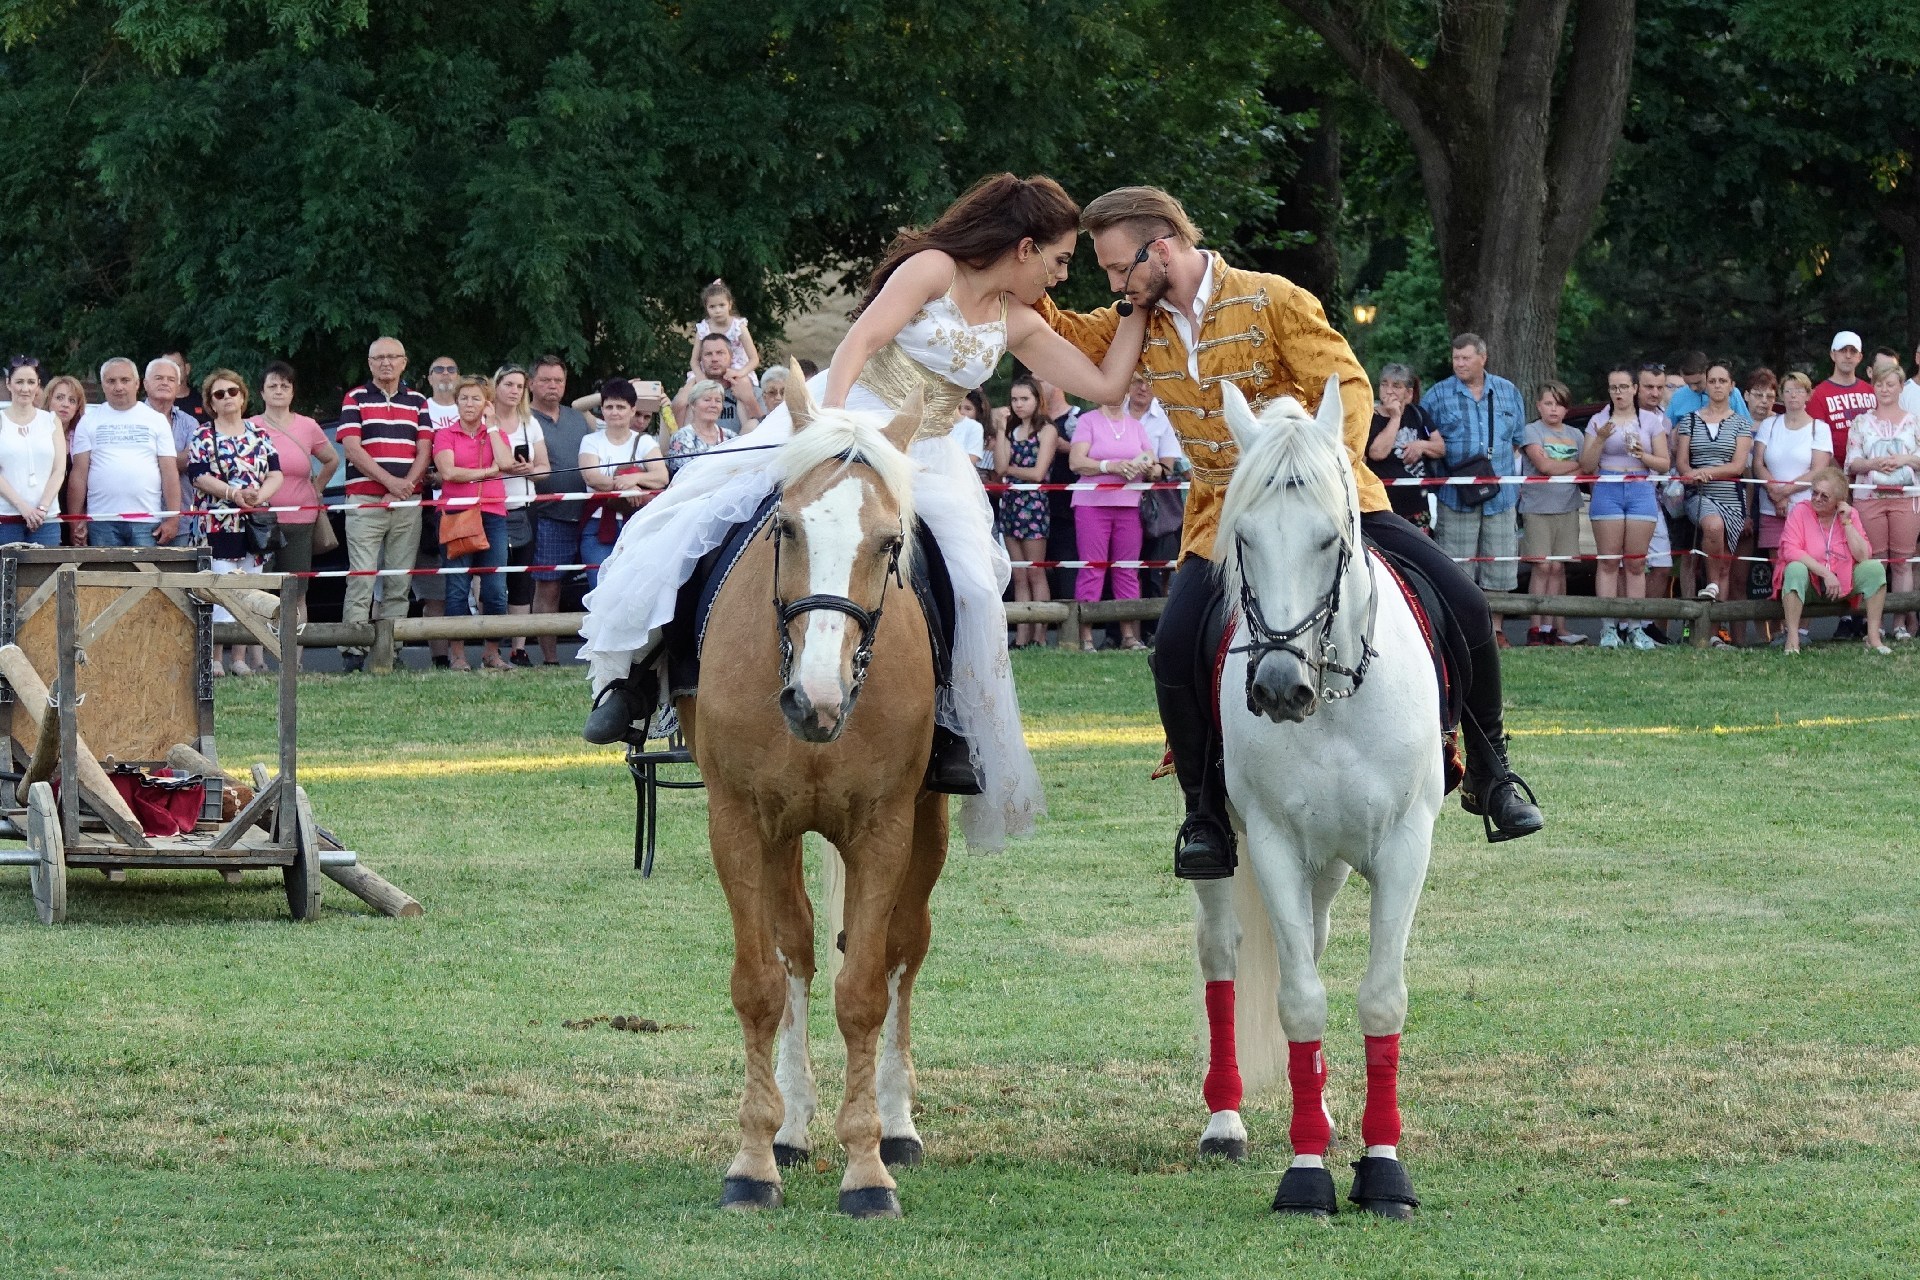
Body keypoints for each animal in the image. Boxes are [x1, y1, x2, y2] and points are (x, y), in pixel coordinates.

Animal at [677, 377, 945, 1219]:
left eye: (890, 544)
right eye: (786, 527)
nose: (814, 702)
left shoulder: (885, 830)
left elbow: (863, 992)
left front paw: (866, 1168)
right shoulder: (738, 821)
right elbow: (759, 985)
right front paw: (754, 1159)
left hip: (926, 833)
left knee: (903, 952)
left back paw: (896, 1123)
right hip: (783, 834)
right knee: (794, 947)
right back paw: (794, 1126)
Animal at [1189, 377, 1446, 1220]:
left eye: (1331, 540)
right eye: (1243, 539)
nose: (1276, 687)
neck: (1333, 700)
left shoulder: (1404, 845)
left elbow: (1380, 999)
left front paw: (1384, 1167)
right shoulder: (1270, 843)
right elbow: (1299, 999)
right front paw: (1305, 1175)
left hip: (1331, 864)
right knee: (1222, 952)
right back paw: (1225, 1122)